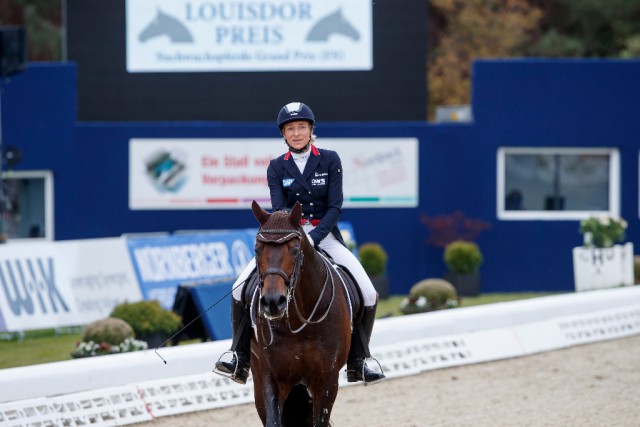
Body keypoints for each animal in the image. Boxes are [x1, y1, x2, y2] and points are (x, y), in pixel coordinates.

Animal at [250, 201, 352, 427]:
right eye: (257, 249)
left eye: (295, 250)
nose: (272, 302)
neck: (299, 320)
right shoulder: (271, 376)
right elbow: (273, 421)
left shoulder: (327, 380)